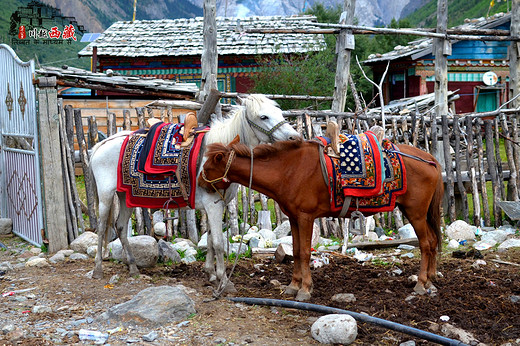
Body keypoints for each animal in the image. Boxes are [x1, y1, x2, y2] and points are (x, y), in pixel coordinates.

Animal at [90, 94, 300, 290]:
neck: (217, 156)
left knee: (120, 227)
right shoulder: (213, 205)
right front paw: (224, 281)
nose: (294, 138)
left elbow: (210, 238)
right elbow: (218, 242)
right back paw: (98, 269)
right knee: (101, 228)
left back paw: (133, 268)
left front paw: (211, 274)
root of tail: (101, 145)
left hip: (125, 196)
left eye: (279, 112)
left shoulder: (218, 205)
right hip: (106, 196)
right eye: (263, 116)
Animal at [199, 137, 442, 302]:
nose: (200, 184)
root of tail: (430, 159)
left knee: (425, 244)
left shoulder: (306, 217)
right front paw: (293, 285)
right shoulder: (294, 218)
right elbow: (297, 252)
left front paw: (305, 289)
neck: (288, 170)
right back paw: (430, 280)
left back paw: (421, 284)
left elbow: (306, 253)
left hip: (416, 213)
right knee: (432, 242)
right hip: (420, 214)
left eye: (208, 167)